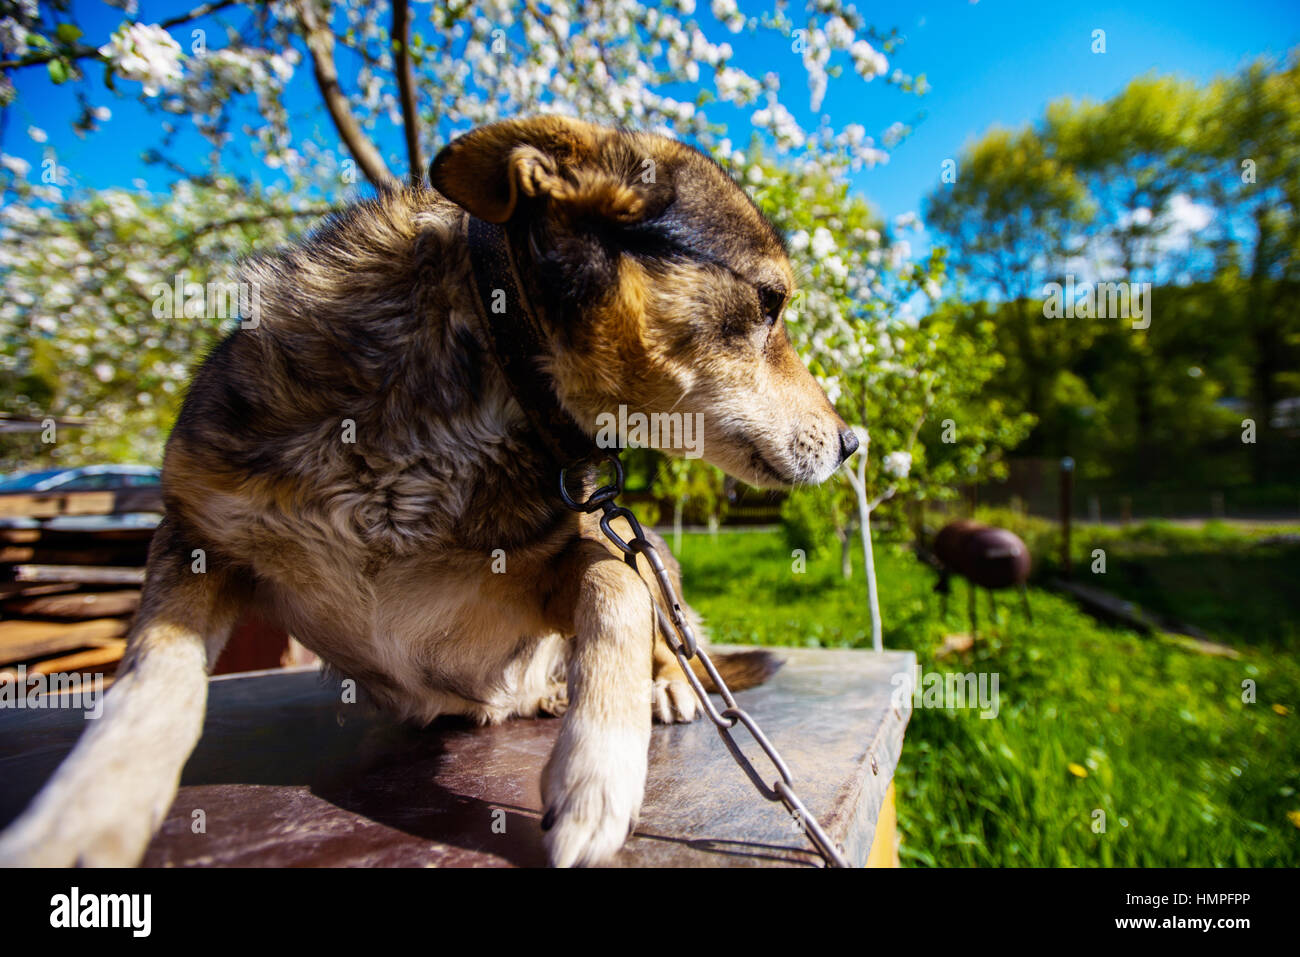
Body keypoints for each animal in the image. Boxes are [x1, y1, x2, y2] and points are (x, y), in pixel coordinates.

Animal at [2, 113, 863, 868]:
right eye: (770, 303)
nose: (853, 442)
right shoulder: (198, 534)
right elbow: (155, 680)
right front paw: (90, 806)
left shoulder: (575, 552)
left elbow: (616, 591)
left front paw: (596, 775)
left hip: (652, 549)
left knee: (673, 626)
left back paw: (666, 690)